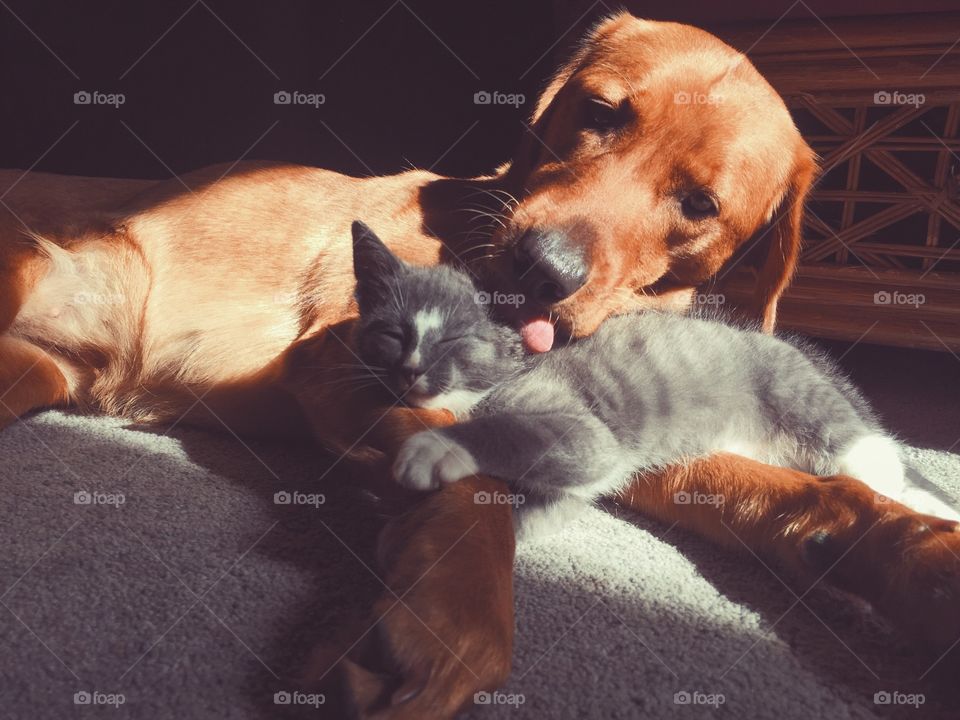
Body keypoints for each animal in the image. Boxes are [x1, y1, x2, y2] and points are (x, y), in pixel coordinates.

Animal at [348, 222, 956, 536]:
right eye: (392, 335)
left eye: (456, 341)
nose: (410, 370)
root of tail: (799, 350)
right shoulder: (590, 477)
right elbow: (552, 504)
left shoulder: (586, 431)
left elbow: (515, 433)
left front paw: (434, 448)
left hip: (808, 408)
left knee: (877, 460)